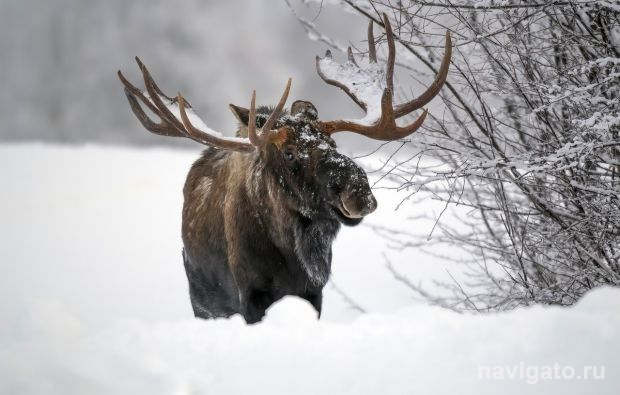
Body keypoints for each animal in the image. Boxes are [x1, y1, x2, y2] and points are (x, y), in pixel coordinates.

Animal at [117, 14, 450, 324]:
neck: (291, 252)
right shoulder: (250, 293)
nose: (358, 191)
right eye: (289, 153)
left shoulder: (313, 292)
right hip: (203, 300)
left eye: (333, 142)